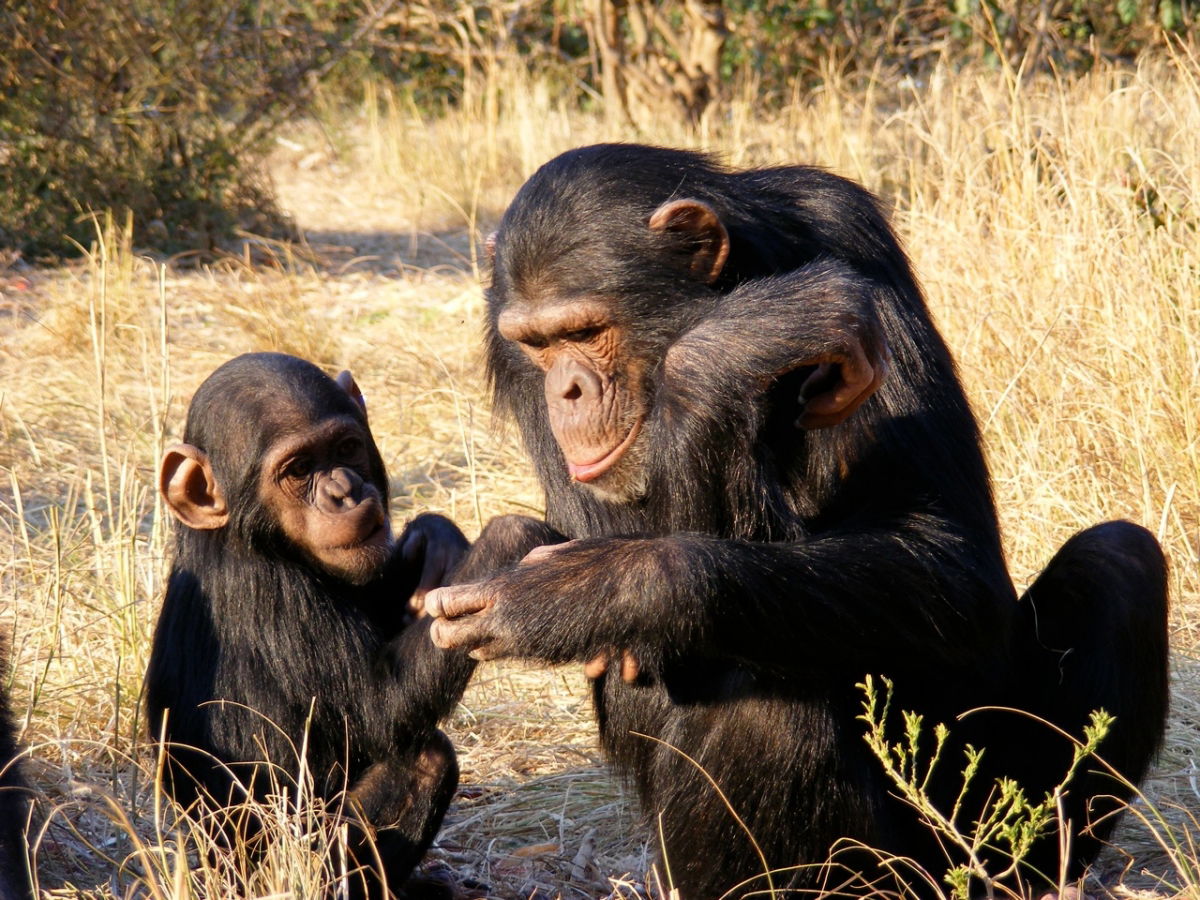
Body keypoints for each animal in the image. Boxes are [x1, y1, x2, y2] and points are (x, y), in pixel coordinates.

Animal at [424, 144, 1171, 897]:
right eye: (537, 345)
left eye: (586, 331)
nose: (565, 390)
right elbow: (647, 648)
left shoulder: (856, 241)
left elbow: (954, 560)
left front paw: (587, 586)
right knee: (760, 710)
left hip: (963, 826)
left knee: (1119, 558)